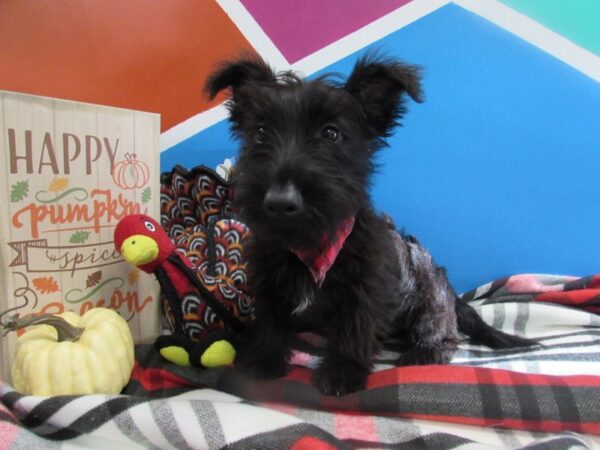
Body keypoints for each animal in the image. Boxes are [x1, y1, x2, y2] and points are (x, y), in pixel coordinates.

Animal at [206, 54, 536, 396]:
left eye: (331, 133)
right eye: (259, 133)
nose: (280, 201)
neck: (311, 243)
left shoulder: (365, 288)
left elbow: (354, 327)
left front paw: (342, 372)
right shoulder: (269, 281)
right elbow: (270, 320)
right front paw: (263, 360)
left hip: (430, 295)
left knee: (444, 332)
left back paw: (425, 352)